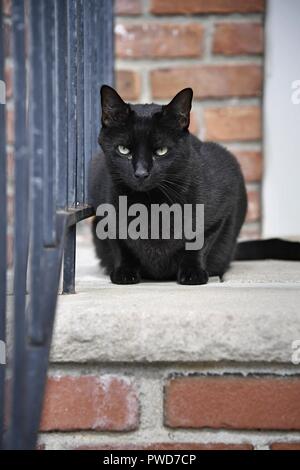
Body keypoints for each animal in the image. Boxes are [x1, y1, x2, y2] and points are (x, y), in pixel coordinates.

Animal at [89, 85, 300, 284]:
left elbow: (199, 242)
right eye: (123, 150)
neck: (151, 205)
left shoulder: (224, 201)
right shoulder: (104, 212)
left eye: (161, 151)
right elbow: (121, 245)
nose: (141, 173)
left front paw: (193, 273)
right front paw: (125, 272)